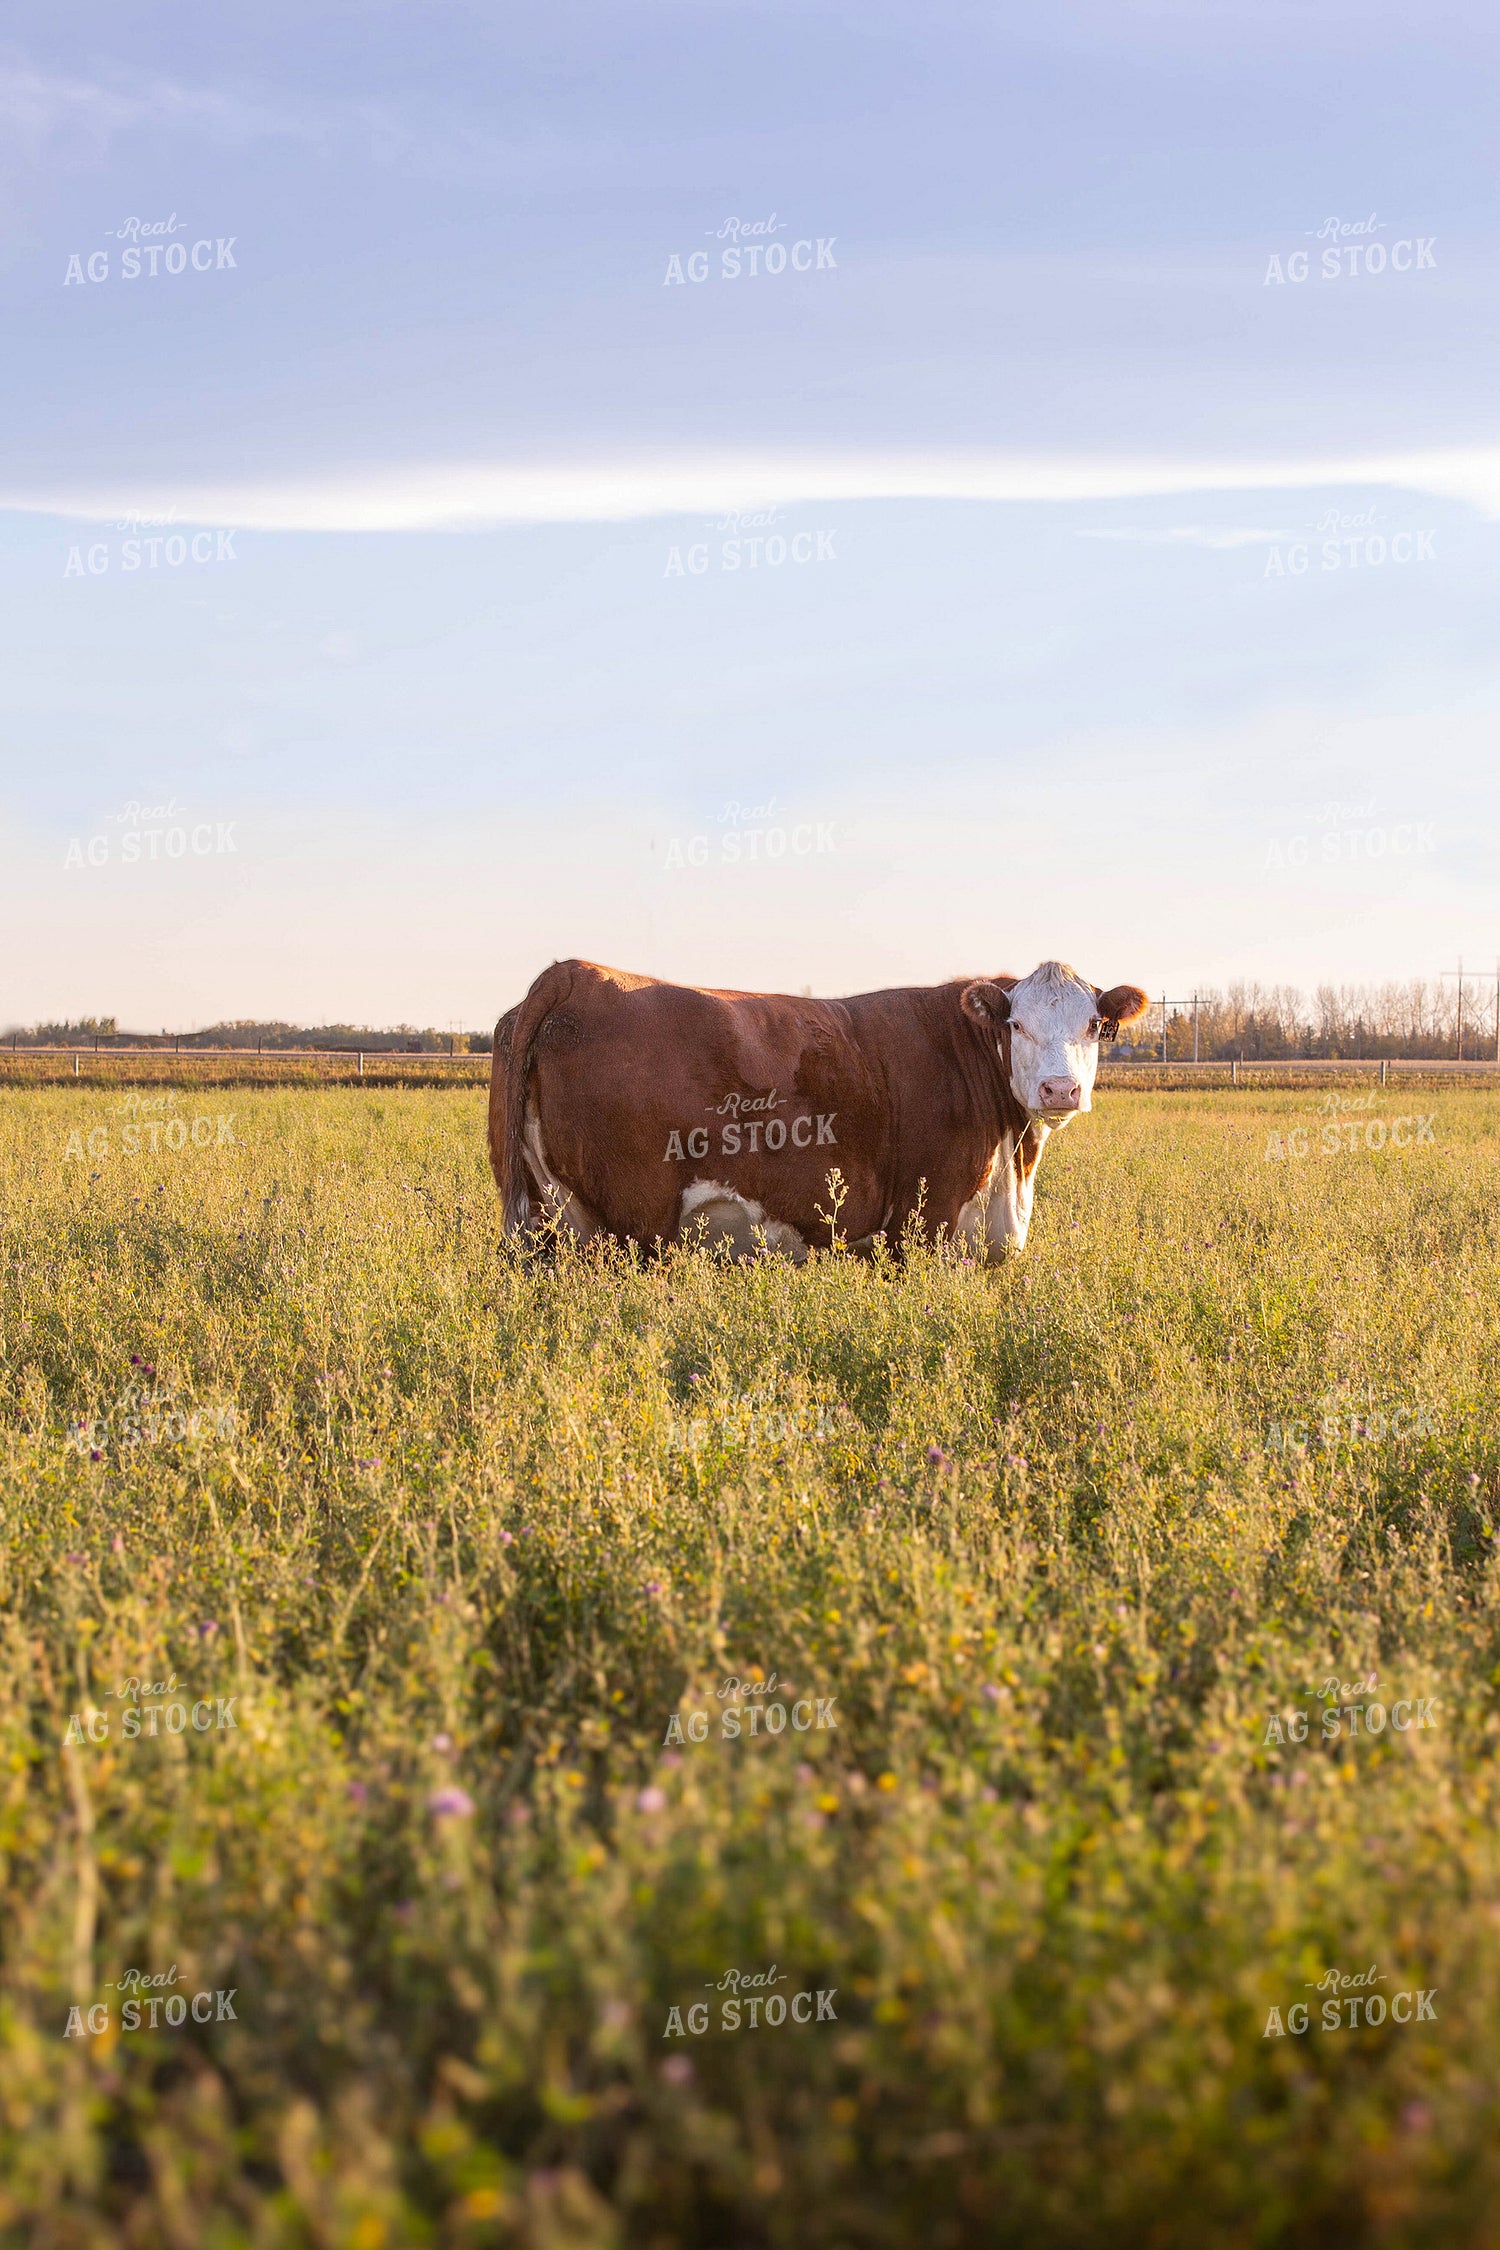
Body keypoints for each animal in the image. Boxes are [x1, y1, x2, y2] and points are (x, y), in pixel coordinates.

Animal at [488, 957, 1149, 1263]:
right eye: (1017, 1025)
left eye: (1095, 1026)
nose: (1060, 1090)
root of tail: (575, 972)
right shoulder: (923, 1224)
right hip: (632, 1227)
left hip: (544, 1222)